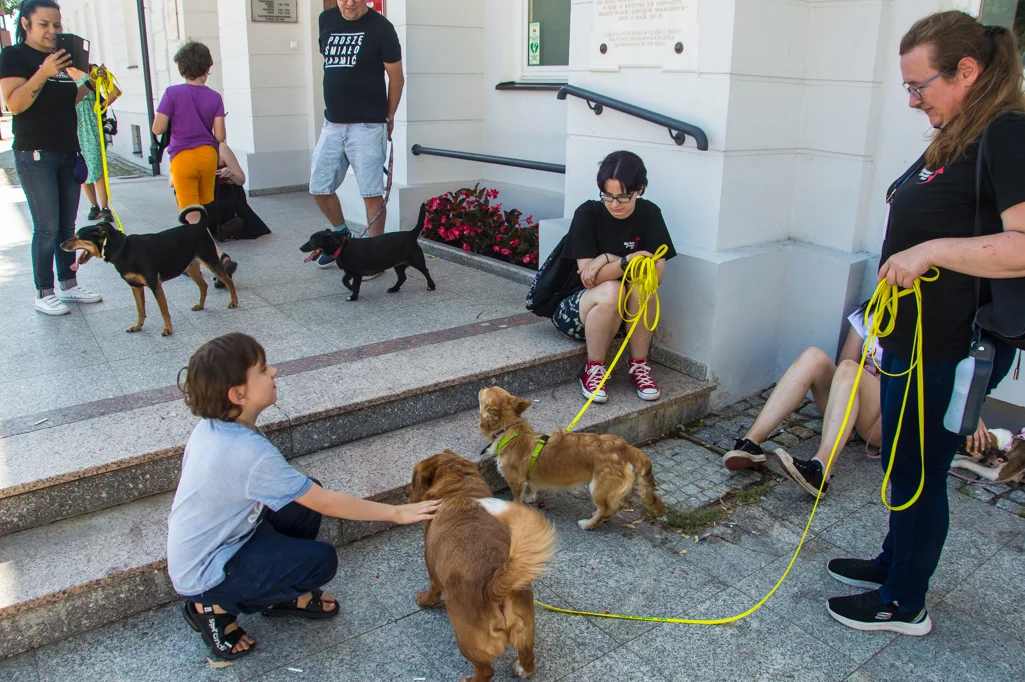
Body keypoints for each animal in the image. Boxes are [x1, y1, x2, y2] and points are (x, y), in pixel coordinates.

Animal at [63, 206, 238, 336]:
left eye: (77, 237)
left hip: (210, 261)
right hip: (191, 267)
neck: (122, 249)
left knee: (228, 281)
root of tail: (200, 225)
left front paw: (167, 329)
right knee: (203, 286)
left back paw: (234, 302)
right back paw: (200, 305)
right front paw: (137, 326)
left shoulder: (155, 284)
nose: (60, 245)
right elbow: (140, 310)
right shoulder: (135, 286)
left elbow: (163, 309)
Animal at [299, 222, 436, 299]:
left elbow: (356, 285)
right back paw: (394, 289)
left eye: (312, 241)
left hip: (417, 261)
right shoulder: (350, 272)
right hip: (398, 265)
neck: (341, 247)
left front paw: (353, 297)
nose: (300, 248)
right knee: (402, 278)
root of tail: (411, 234)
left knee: (426, 271)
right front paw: (350, 288)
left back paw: (431, 286)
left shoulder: (357, 274)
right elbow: (344, 281)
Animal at [407, 449, 557, 676]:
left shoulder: (433, 572)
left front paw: (422, 600)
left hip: (467, 639)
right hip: (526, 629)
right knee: (529, 660)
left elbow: (432, 592)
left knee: (485, 671)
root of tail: (493, 585)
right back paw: (520, 668)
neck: (460, 491)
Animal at [477, 387, 668, 525]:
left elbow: (517, 497)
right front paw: (531, 498)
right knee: (613, 506)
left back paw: (588, 524)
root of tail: (623, 447)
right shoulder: (527, 477)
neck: (511, 432)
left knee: (607, 509)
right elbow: (532, 486)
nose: (482, 387)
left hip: (598, 487)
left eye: (484, 393)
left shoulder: (515, 480)